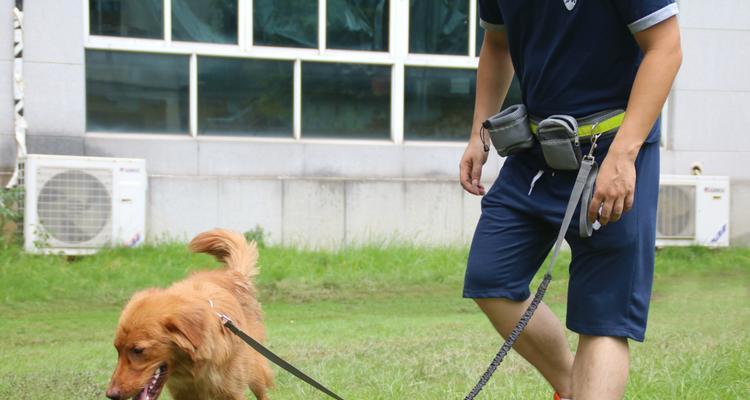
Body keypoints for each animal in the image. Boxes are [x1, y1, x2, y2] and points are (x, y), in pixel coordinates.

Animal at [104, 230, 272, 400]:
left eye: (138, 350)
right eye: (117, 349)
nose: (111, 394)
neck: (192, 370)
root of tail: (234, 275)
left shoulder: (231, 392)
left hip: (255, 372)